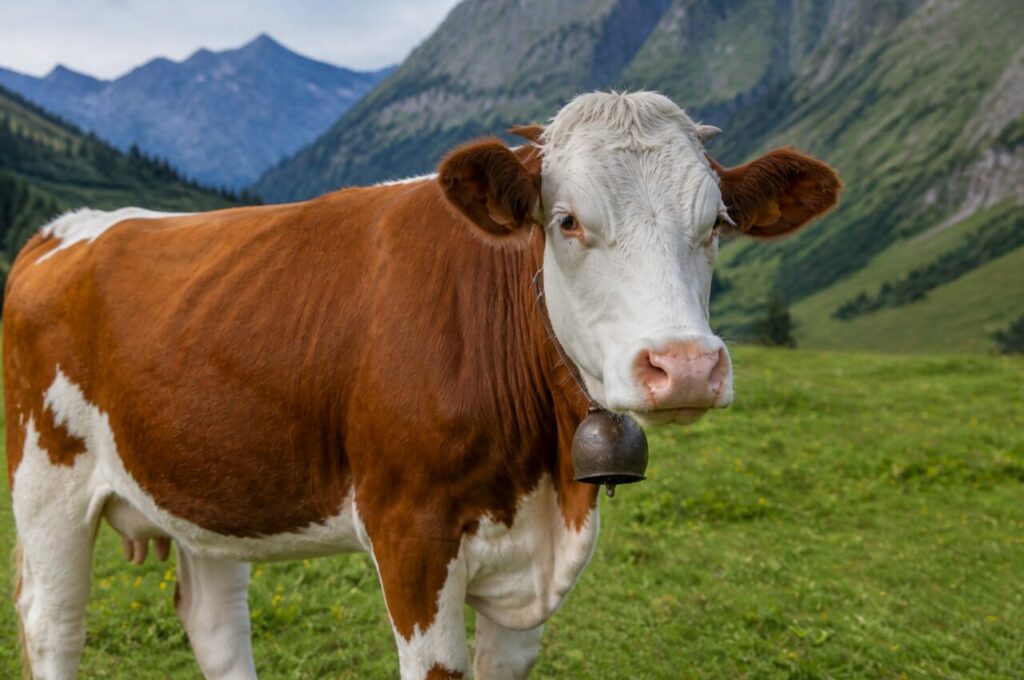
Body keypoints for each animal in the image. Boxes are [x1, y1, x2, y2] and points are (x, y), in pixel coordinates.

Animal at [4, 91, 840, 679]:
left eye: (716, 224)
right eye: (567, 220)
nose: (686, 364)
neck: (544, 483)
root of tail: (69, 228)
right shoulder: (411, 532)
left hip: (208, 482)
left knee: (214, 625)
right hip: (46, 479)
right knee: (54, 624)